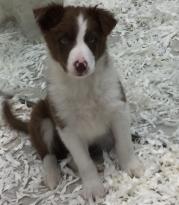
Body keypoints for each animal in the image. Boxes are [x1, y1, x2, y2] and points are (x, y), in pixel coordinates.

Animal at [2, 3, 144, 200]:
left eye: (92, 39)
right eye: (63, 40)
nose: (81, 65)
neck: (83, 86)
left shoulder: (118, 109)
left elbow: (124, 144)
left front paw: (132, 167)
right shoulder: (66, 127)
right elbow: (84, 162)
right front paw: (93, 188)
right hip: (40, 115)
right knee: (47, 154)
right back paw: (52, 176)